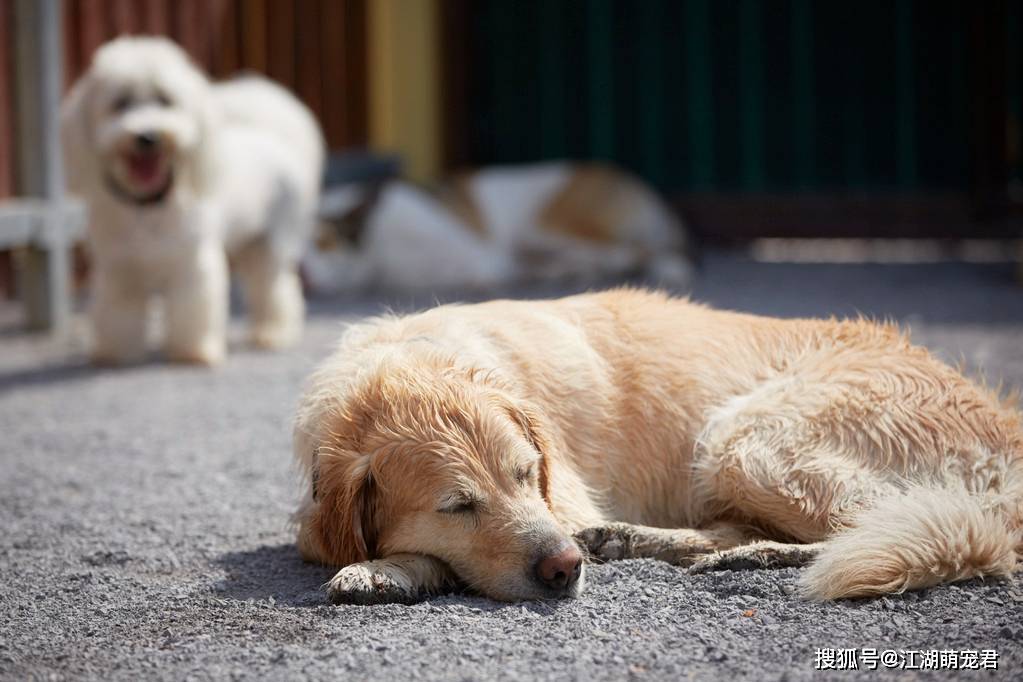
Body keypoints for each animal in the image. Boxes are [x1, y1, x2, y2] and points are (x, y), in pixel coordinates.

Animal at [61, 36, 323, 368]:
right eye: (120, 103)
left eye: (165, 100)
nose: (147, 136)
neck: (149, 208)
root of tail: (272, 137)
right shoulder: (119, 270)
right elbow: (118, 314)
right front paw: (117, 353)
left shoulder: (192, 265)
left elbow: (192, 310)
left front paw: (193, 351)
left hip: (271, 245)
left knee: (276, 289)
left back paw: (273, 332)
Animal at [292, 288, 1018, 601]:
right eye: (457, 507)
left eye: (528, 475)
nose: (564, 570)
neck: (411, 362)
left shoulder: (563, 505)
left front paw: (386, 570)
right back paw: (646, 542)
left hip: (741, 437)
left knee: (932, 532)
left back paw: (747, 557)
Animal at [304, 163, 695, 296]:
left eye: (324, 243)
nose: (304, 277)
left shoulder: (477, 257)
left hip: (547, 226)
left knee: (636, 251)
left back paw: (669, 268)